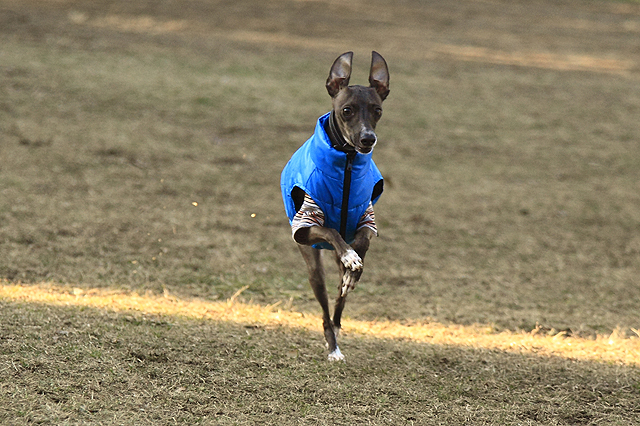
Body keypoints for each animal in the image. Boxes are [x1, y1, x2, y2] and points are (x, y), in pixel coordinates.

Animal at [282, 51, 390, 362]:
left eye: (377, 110)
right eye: (347, 110)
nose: (368, 139)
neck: (349, 161)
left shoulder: (366, 219)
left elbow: (361, 242)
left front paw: (353, 267)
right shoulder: (305, 225)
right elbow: (329, 229)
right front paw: (351, 259)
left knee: (339, 302)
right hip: (312, 263)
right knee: (324, 307)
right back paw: (333, 347)